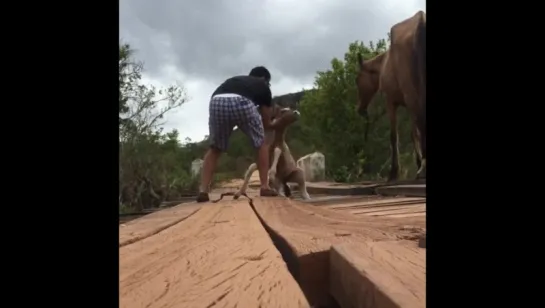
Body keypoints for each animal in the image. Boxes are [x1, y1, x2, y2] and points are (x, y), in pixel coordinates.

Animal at [354, 10, 428, 182]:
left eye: (357, 80)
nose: (360, 109)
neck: (384, 63)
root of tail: (421, 20)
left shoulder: (392, 102)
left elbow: (394, 136)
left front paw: (394, 172)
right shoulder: (408, 105)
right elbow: (413, 133)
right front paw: (418, 161)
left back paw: (423, 169)